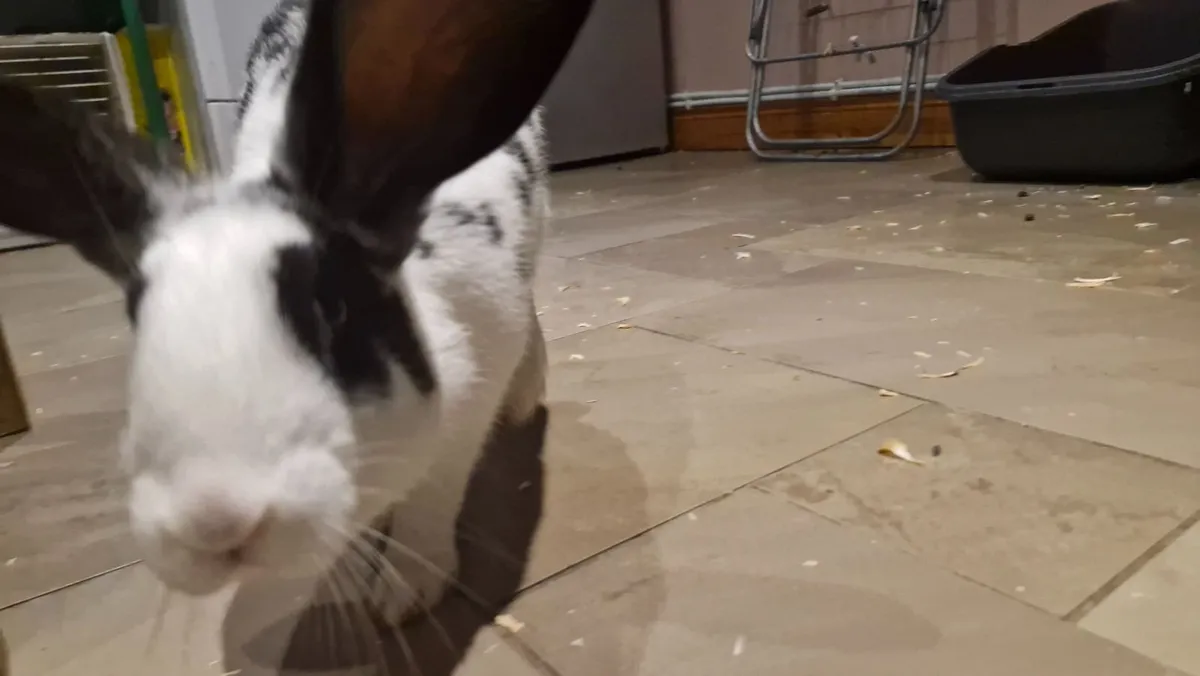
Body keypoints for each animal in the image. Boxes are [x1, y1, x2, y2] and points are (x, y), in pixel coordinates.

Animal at [0, 0, 594, 623]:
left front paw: (401, 594)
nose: (214, 522)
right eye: (136, 314)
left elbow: (431, 503)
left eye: (330, 307)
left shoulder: (469, 410)